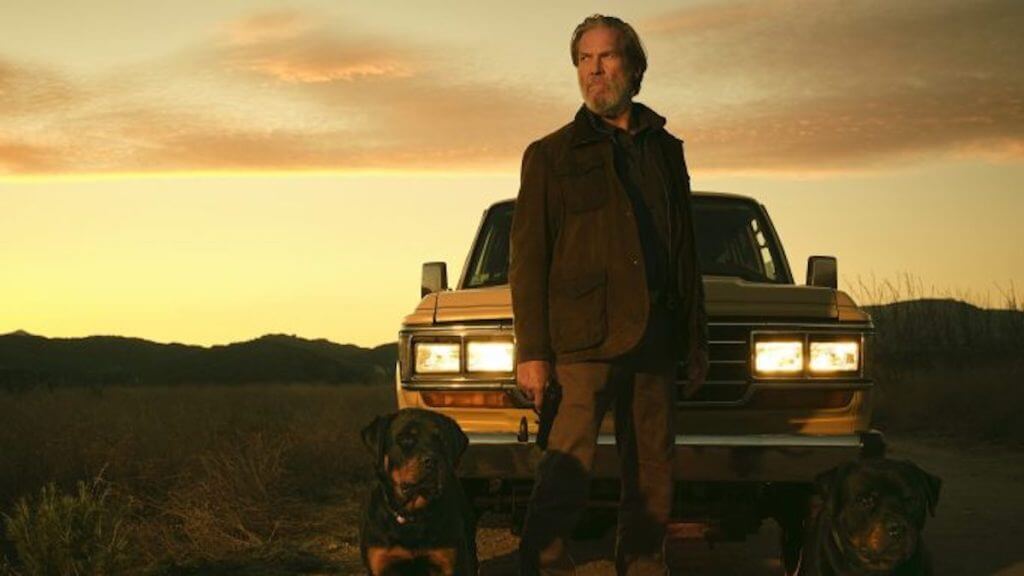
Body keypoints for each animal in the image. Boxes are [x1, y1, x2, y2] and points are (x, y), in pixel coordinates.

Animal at [360, 405, 475, 569]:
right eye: (406, 439)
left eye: (442, 440)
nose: (432, 460)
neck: (412, 515)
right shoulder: (379, 561)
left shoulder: (450, 559)